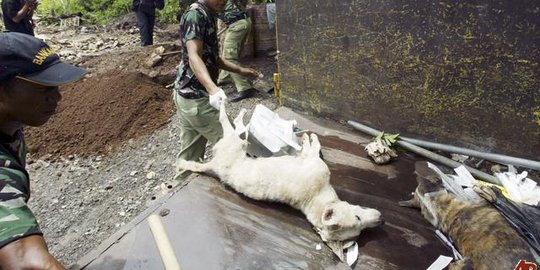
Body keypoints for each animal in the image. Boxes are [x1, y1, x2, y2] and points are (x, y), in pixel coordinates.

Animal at [177, 103, 384, 260]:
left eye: (360, 232)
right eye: (357, 218)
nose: (381, 220)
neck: (318, 200)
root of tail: (216, 166)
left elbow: (309, 149)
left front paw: (306, 139)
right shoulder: (313, 162)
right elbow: (313, 147)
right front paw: (309, 137)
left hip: (230, 147)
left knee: (228, 128)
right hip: (234, 143)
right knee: (225, 121)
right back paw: (226, 105)